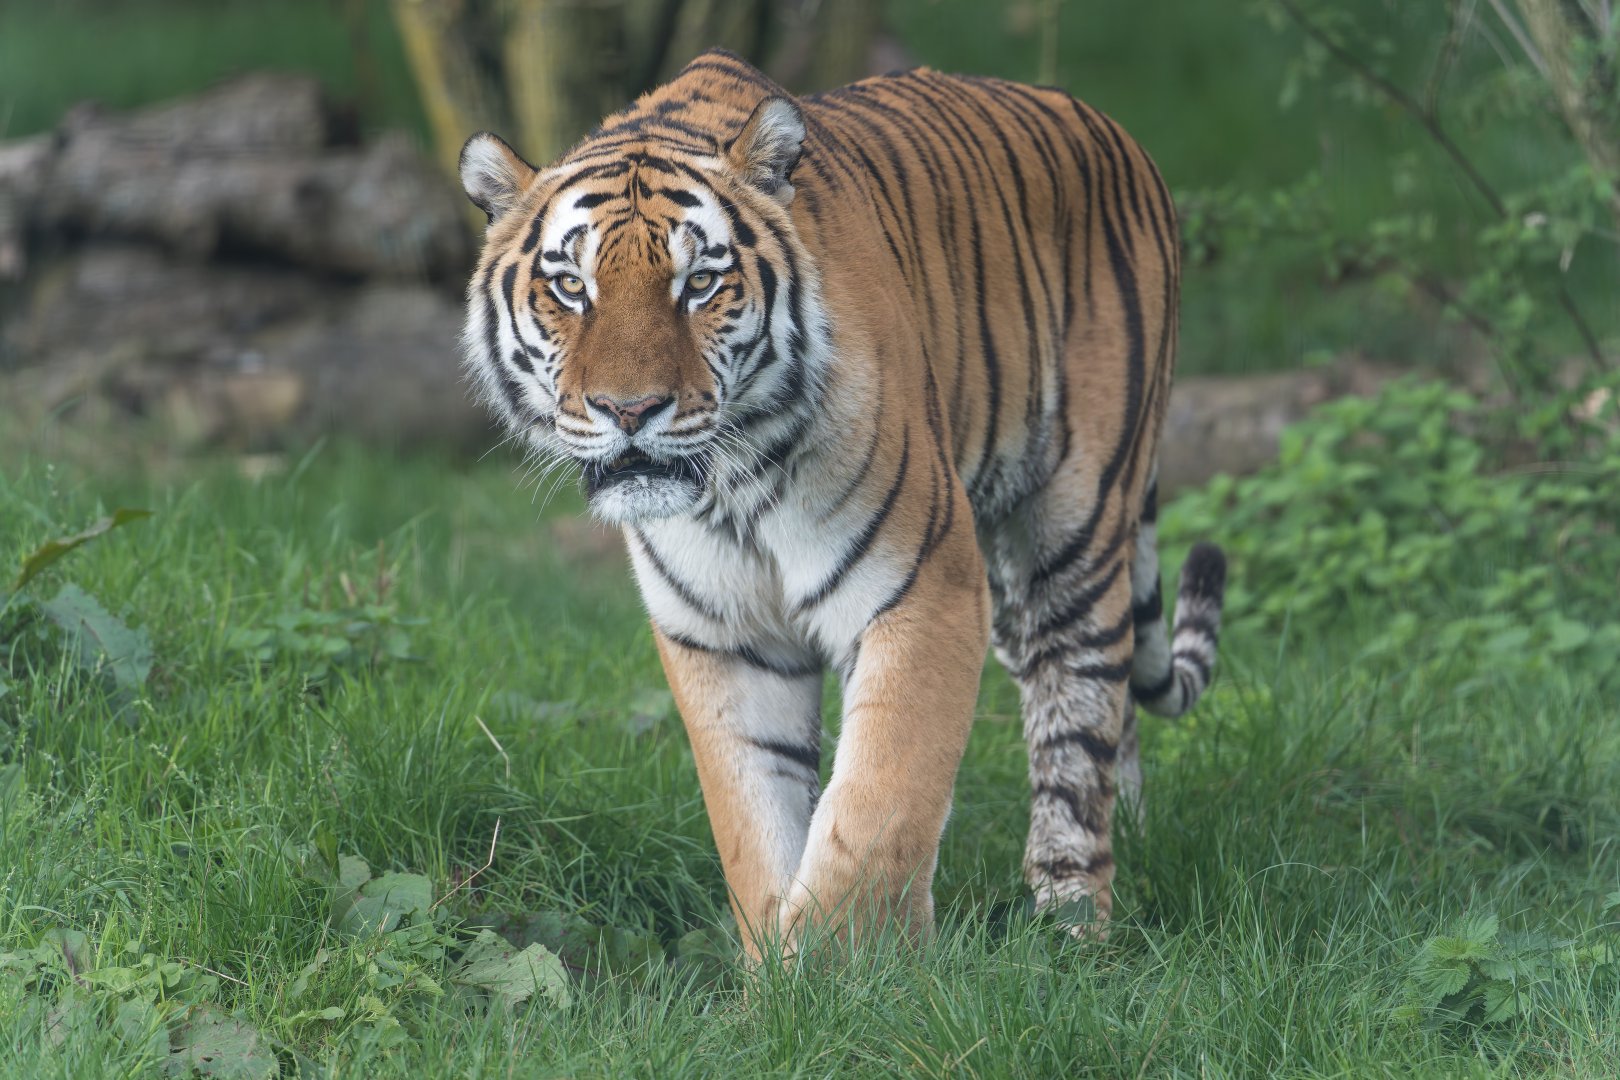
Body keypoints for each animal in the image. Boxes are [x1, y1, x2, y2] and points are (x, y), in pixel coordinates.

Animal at [458, 48, 1226, 958]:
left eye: (700, 282)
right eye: (572, 287)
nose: (629, 410)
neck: (733, 485)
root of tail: (1110, 128)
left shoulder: (923, 587)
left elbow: (877, 806)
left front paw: (839, 973)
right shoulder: (723, 635)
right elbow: (753, 826)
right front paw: (771, 974)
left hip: (1076, 520)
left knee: (1077, 708)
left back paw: (1071, 922)